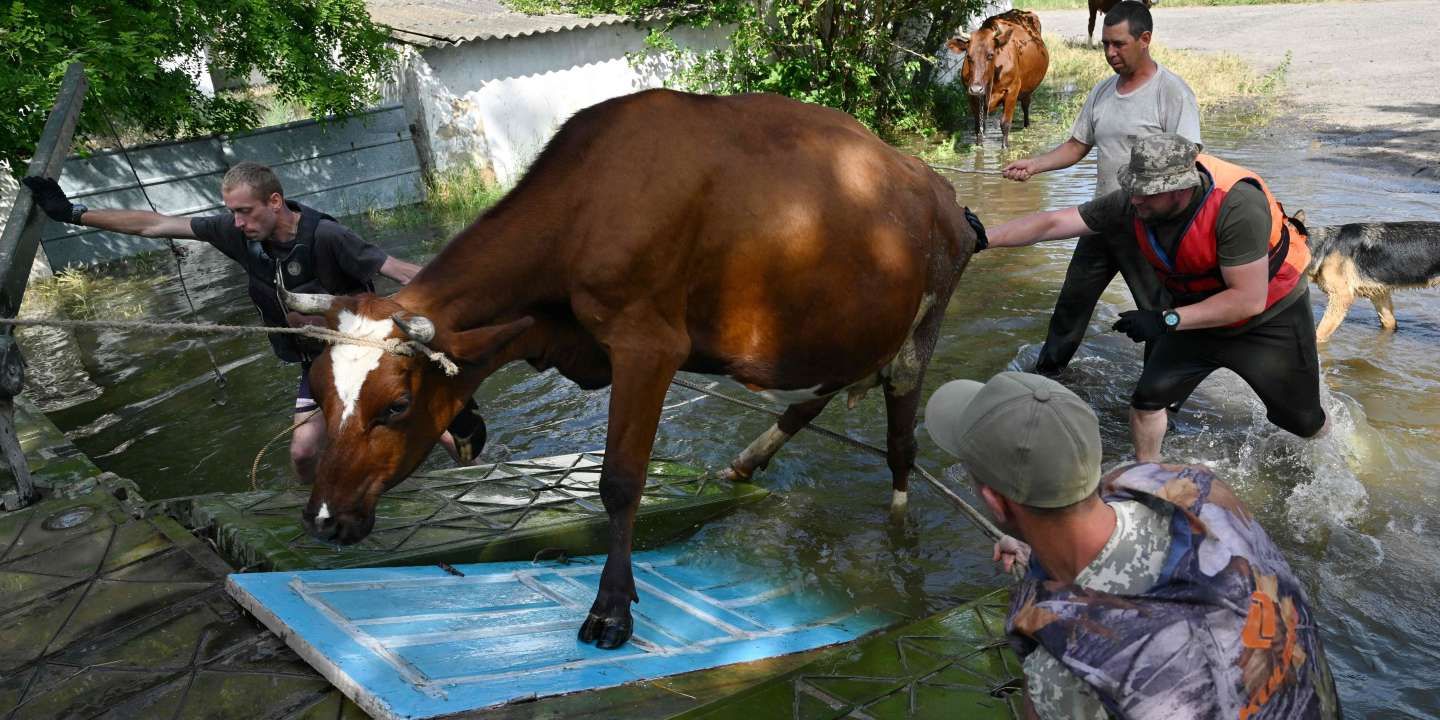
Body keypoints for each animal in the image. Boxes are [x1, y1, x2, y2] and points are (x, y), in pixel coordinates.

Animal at [280, 90, 979, 653]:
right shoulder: (563, 332)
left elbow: (619, 481)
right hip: (831, 337)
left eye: (396, 405)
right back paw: (745, 463)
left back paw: (898, 534)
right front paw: (469, 422)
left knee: (900, 444)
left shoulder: (648, 344)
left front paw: (611, 609)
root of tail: (937, 189)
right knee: (811, 400)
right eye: (319, 392)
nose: (323, 520)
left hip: (923, 323)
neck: (587, 202)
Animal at [944, 9, 1048, 149]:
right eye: (969, 56)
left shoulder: (1012, 90)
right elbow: (979, 126)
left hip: (1027, 89)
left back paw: (1027, 126)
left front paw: (1005, 147)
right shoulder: (971, 95)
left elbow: (1005, 123)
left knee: (1026, 106)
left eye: (990, 55)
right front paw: (979, 146)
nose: (976, 88)